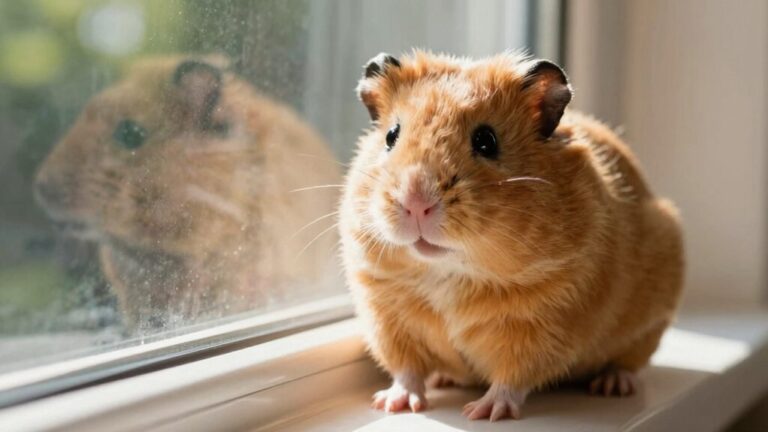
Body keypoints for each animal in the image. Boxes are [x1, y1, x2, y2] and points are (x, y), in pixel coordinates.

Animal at [339, 51, 684, 421]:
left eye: (486, 140)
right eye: (391, 135)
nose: (416, 202)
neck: (450, 271)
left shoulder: (545, 324)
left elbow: (513, 376)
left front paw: (483, 412)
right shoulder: (387, 319)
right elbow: (406, 369)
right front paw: (393, 404)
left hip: (648, 325)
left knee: (629, 363)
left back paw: (613, 385)